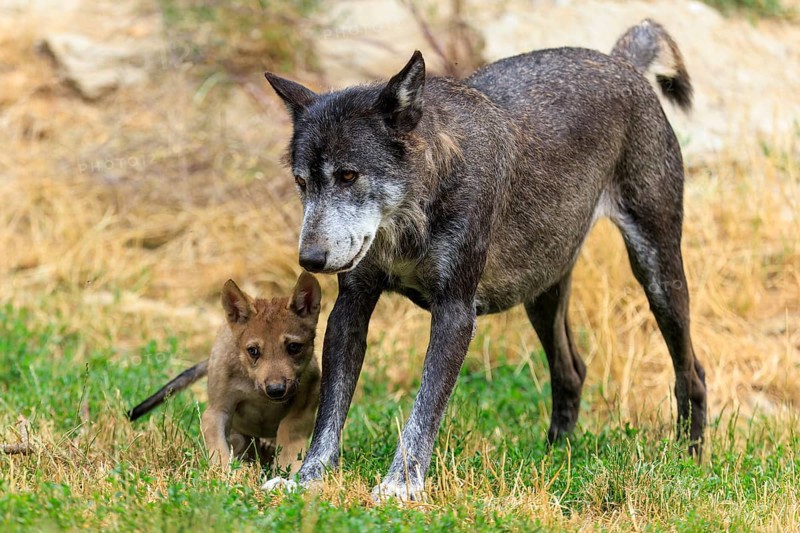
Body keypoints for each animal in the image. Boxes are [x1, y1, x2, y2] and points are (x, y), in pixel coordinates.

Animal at [129, 273, 322, 473]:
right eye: (253, 351)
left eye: (294, 347)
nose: (275, 390)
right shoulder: (216, 412)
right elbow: (220, 452)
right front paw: (227, 475)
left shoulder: (301, 411)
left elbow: (287, 435)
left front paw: (289, 470)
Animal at [262, 19, 706, 500]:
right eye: (301, 182)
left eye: (348, 175)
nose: (310, 259)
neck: (413, 212)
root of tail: (622, 63)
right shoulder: (351, 308)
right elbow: (331, 410)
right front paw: (307, 479)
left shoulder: (456, 315)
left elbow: (423, 411)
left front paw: (400, 487)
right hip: (542, 293)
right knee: (571, 371)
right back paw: (555, 458)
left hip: (658, 277)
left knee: (691, 373)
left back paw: (688, 461)